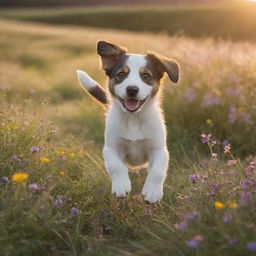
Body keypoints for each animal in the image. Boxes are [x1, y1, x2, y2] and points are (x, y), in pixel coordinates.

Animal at [77, 40, 179, 204]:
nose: (132, 89)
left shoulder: (159, 149)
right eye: (121, 74)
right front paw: (121, 185)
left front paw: (152, 191)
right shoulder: (111, 148)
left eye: (146, 75)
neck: (134, 119)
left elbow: (157, 172)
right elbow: (116, 166)